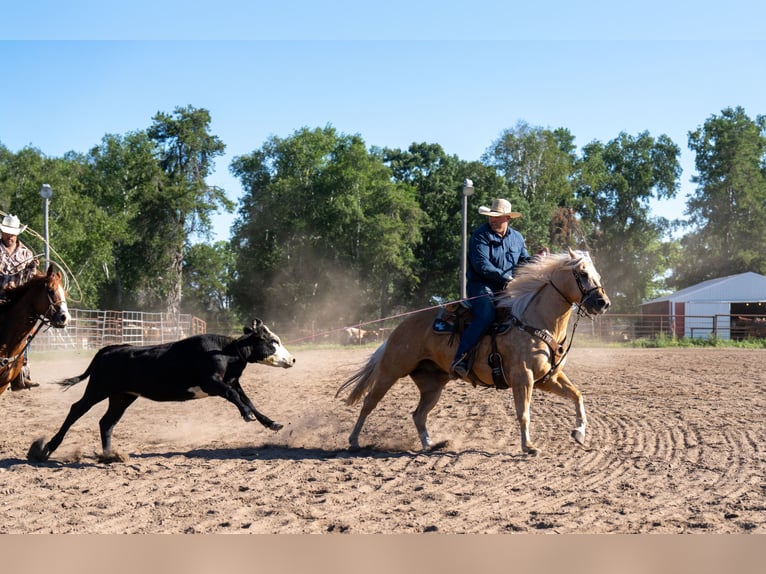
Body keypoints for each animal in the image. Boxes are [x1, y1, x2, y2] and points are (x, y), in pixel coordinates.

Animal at [336, 249, 610, 455]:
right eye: (582, 274)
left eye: (597, 274)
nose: (603, 303)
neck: (535, 320)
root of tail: (400, 326)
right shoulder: (523, 377)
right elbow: (523, 413)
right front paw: (528, 446)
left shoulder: (548, 378)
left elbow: (577, 396)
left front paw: (579, 433)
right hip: (391, 371)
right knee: (369, 403)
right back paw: (354, 441)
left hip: (432, 384)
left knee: (418, 414)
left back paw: (431, 445)